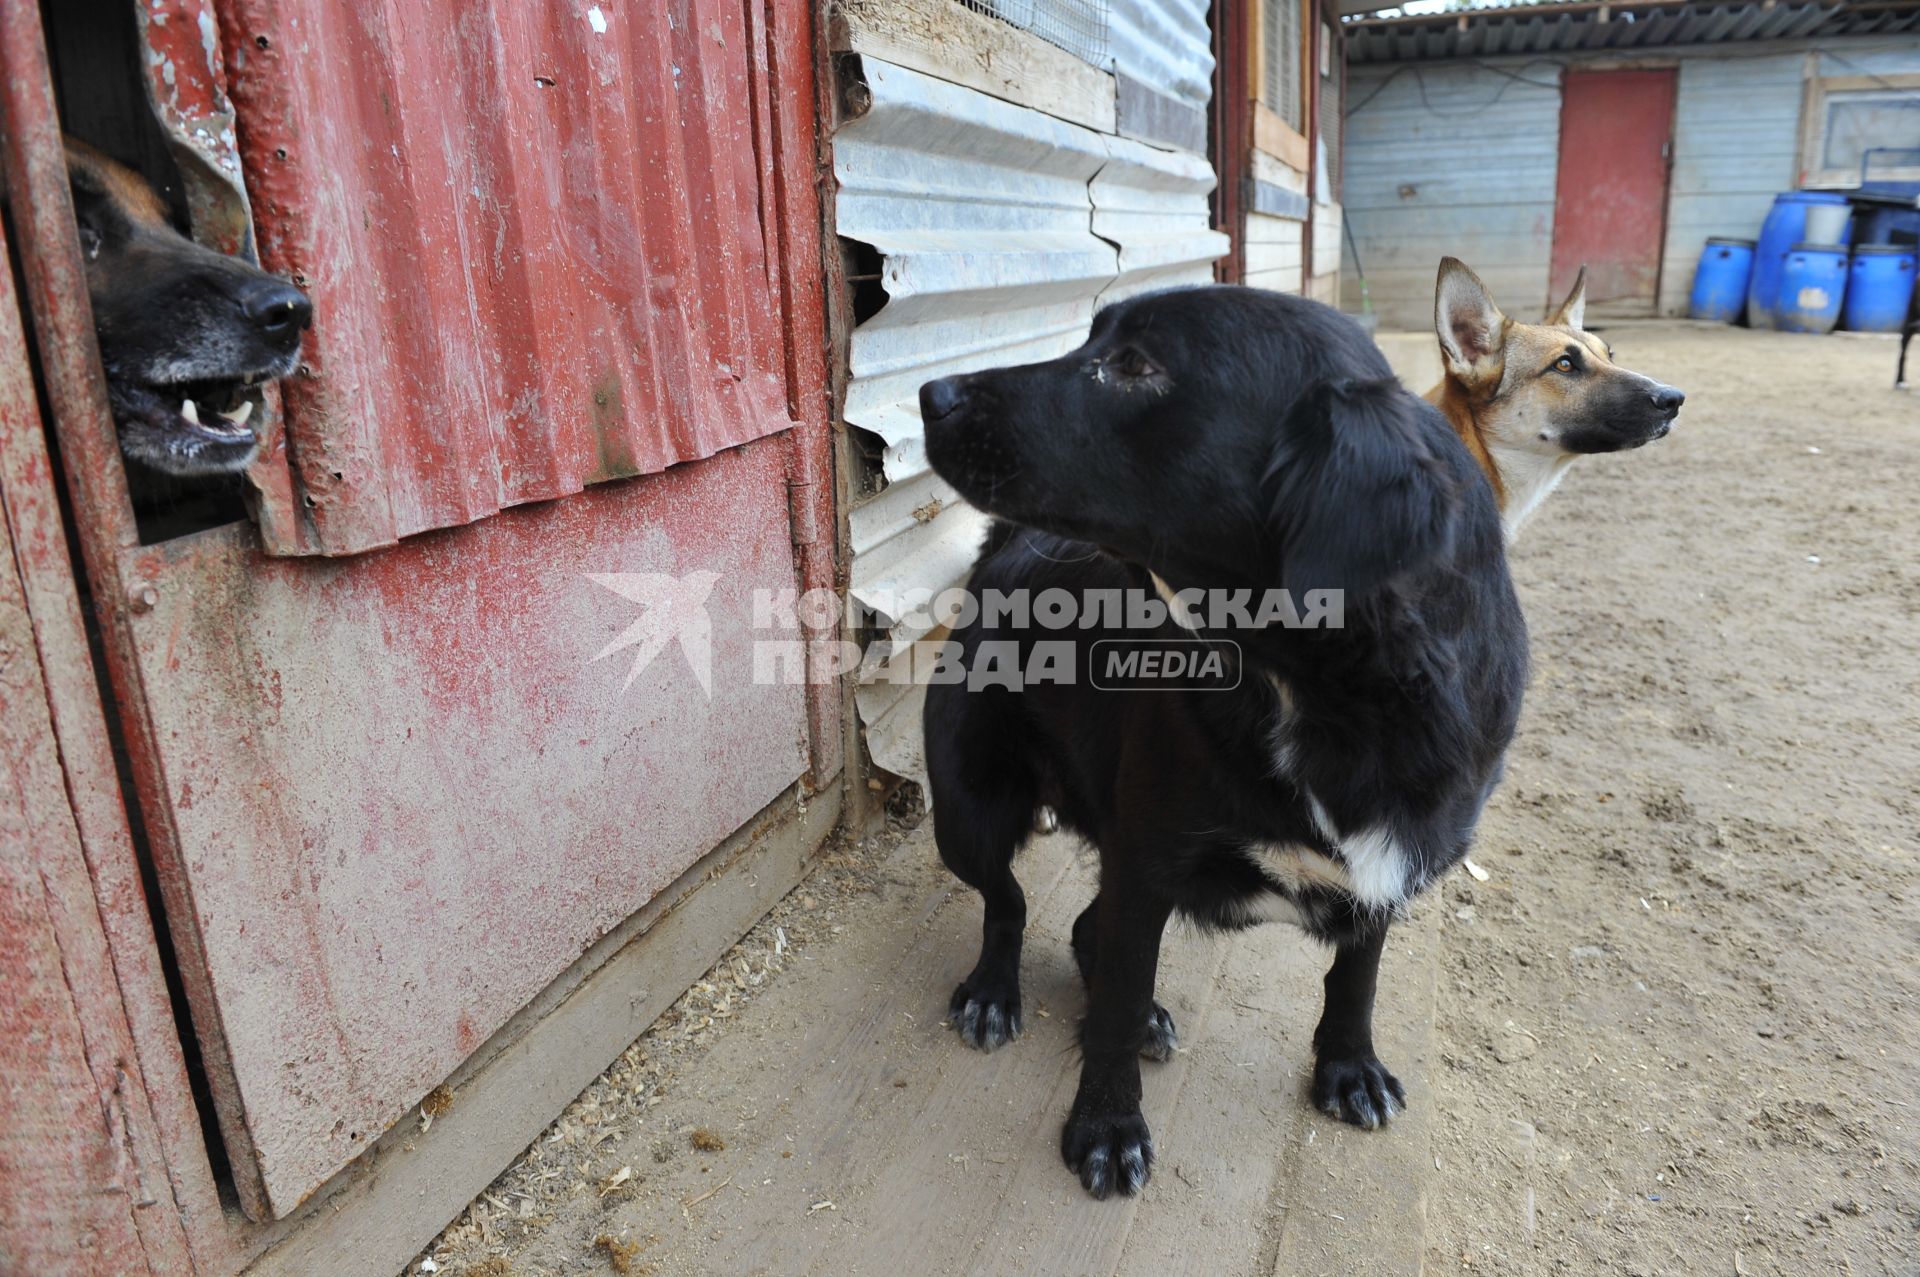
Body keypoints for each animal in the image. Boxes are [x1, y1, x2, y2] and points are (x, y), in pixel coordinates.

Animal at [913, 286, 1528, 1198]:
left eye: (1137, 364)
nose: (931, 392)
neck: (1324, 697)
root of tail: (1007, 552)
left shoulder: (1389, 867)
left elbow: (1357, 978)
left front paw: (1349, 1068)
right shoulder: (1148, 860)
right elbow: (1115, 996)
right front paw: (1107, 1126)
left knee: (1085, 927)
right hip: (969, 810)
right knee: (1009, 901)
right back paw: (995, 989)